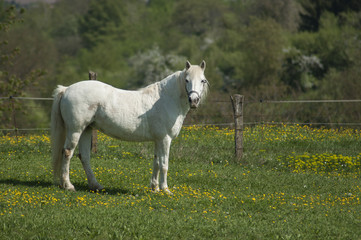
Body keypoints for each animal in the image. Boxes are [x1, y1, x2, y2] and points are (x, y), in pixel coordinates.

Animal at [51, 60, 208, 193]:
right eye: (186, 80)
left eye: (202, 80)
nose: (194, 100)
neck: (166, 99)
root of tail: (66, 89)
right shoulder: (165, 139)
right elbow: (164, 164)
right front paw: (165, 190)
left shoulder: (158, 140)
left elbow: (156, 162)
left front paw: (155, 188)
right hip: (75, 130)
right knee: (67, 153)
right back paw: (68, 185)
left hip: (86, 130)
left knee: (84, 156)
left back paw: (95, 185)